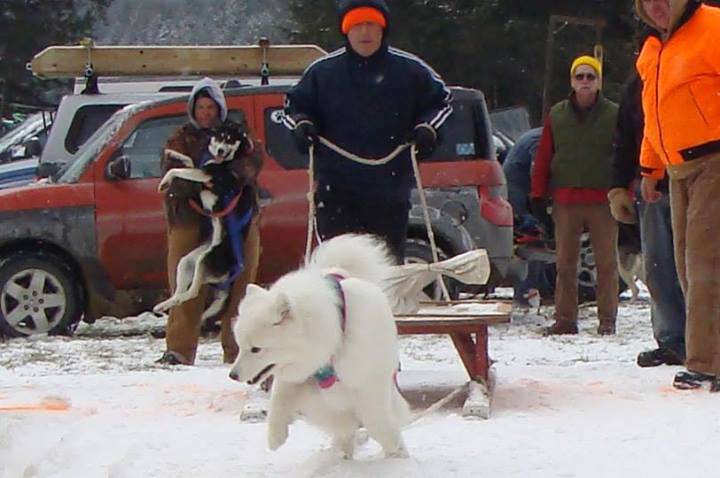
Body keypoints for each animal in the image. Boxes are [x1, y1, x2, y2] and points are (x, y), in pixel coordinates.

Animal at [231, 234, 410, 460]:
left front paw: (397, 451)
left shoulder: (368, 383)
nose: (232, 375)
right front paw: (275, 437)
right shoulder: (298, 374)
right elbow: (278, 399)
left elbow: (379, 423)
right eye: (240, 346)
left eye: (256, 349)